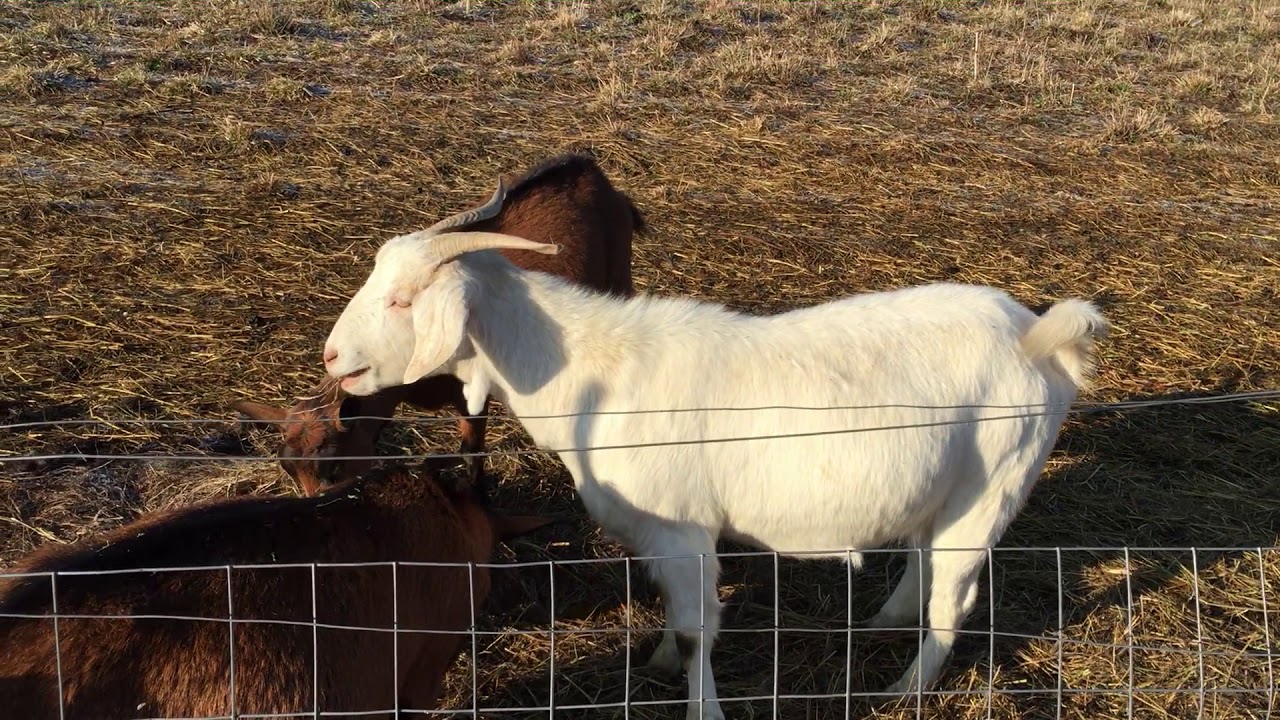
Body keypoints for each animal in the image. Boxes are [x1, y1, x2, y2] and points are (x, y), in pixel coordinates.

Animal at [233, 153, 643, 496]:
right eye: (289, 470)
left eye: (332, 468)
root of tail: (590, 169)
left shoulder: (470, 395)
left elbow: (472, 451)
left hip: (620, 273)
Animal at [318, 183, 1109, 719]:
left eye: (402, 301)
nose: (332, 358)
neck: (596, 371)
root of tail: (1041, 338)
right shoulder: (661, 537)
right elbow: (673, 612)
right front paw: (660, 661)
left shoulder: (685, 529)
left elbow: (700, 630)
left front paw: (702, 702)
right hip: (940, 490)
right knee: (921, 560)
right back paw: (882, 626)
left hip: (991, 488)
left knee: (955, 595)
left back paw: (904, 688)